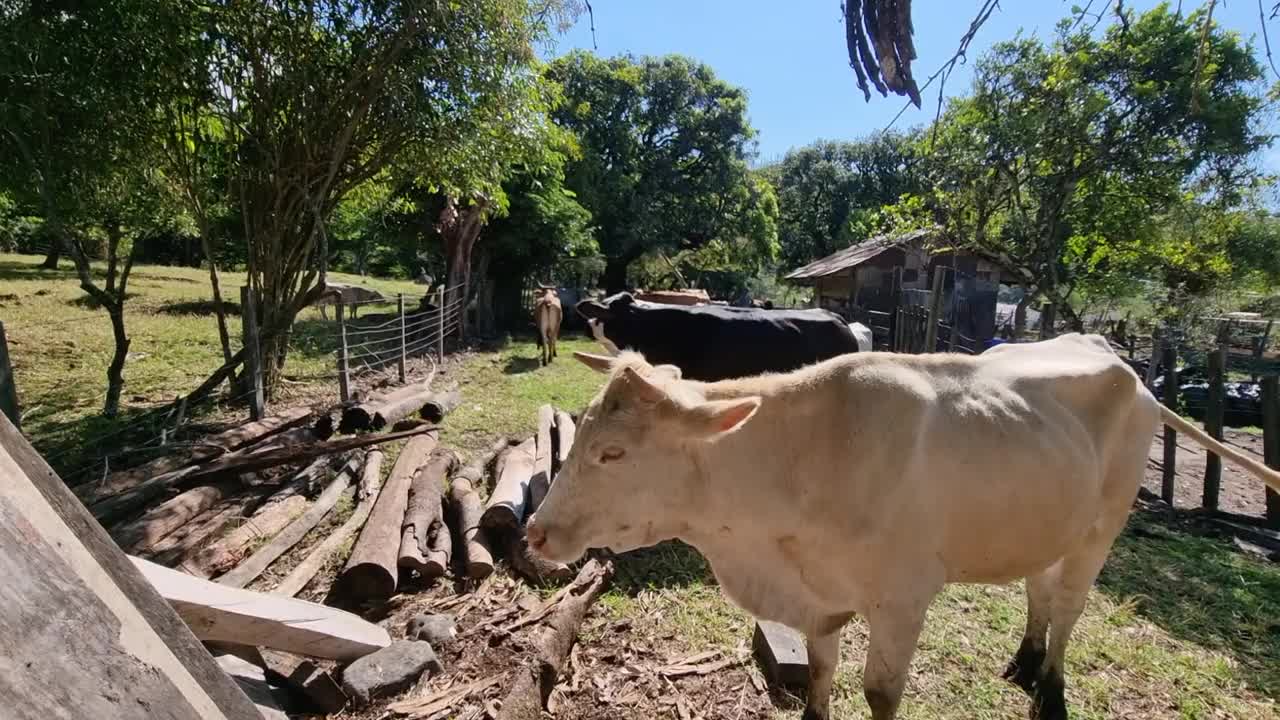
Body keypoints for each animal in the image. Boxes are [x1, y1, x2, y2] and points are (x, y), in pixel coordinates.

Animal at [527, 335, 1280, 717]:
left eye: (613, 453)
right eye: (583, 430)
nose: (535, 532)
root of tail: (1128, 366)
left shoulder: (902, 599)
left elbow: (879, 693)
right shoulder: (819, 596)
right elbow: (822, 674)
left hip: (1103, 527)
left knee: (1069, 604)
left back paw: (1051, 684)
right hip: (1048, 519)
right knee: (1040, 589)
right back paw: (1025, 656)